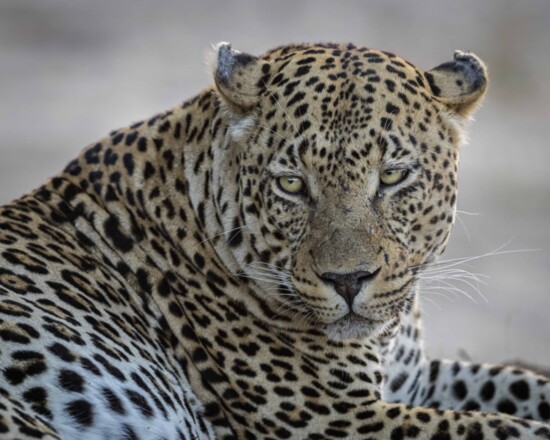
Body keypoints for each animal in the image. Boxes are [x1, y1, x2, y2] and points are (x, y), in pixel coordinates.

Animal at [1, 39, 550, 438]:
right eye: (291, 184)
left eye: (393, 177)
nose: (348, 281)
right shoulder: (336, 418)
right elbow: (500, 428)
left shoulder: (411, 379)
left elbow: (514, 382)